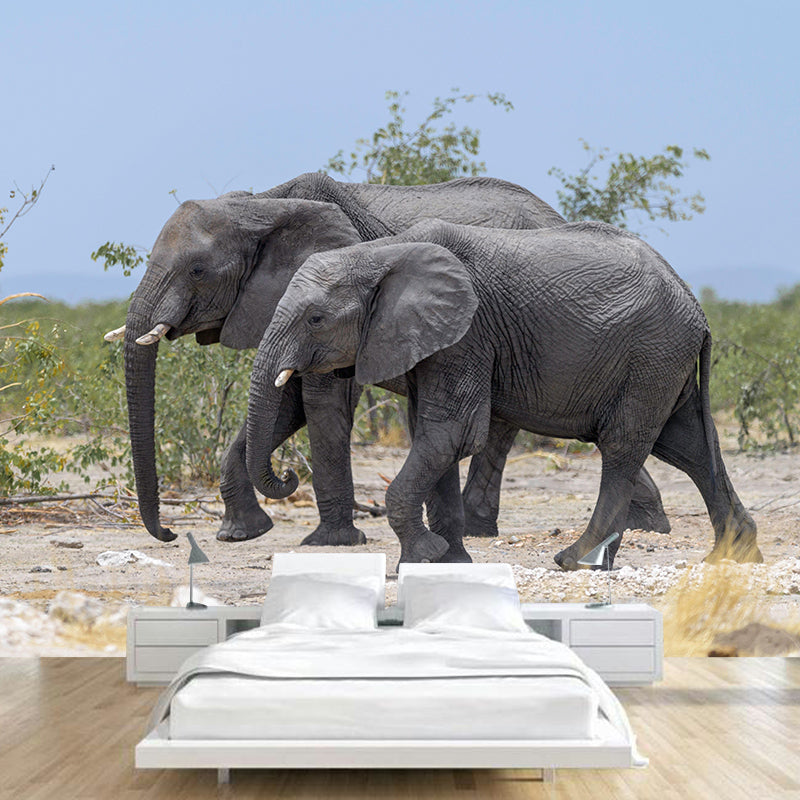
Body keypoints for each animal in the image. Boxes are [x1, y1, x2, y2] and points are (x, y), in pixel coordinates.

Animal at [117, 171, 668, 545]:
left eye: (197, 270)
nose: (168, 534)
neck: (262, 205)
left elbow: (322, 402)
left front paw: (331, 544)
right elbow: (287, 402)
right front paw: (241, 534)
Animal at [245, 219, 762, 570]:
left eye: (315, 319)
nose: (288, 475)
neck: (380, 253)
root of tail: (695, 303)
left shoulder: (468, 333)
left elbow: (451, 434)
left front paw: (424, 556)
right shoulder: (434, 342)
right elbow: (432, 438)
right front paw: (449, 562)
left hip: (651, 354)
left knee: (623, 447)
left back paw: (574, 561)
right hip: (663, 361)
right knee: (687, 446)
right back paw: (732, 557)